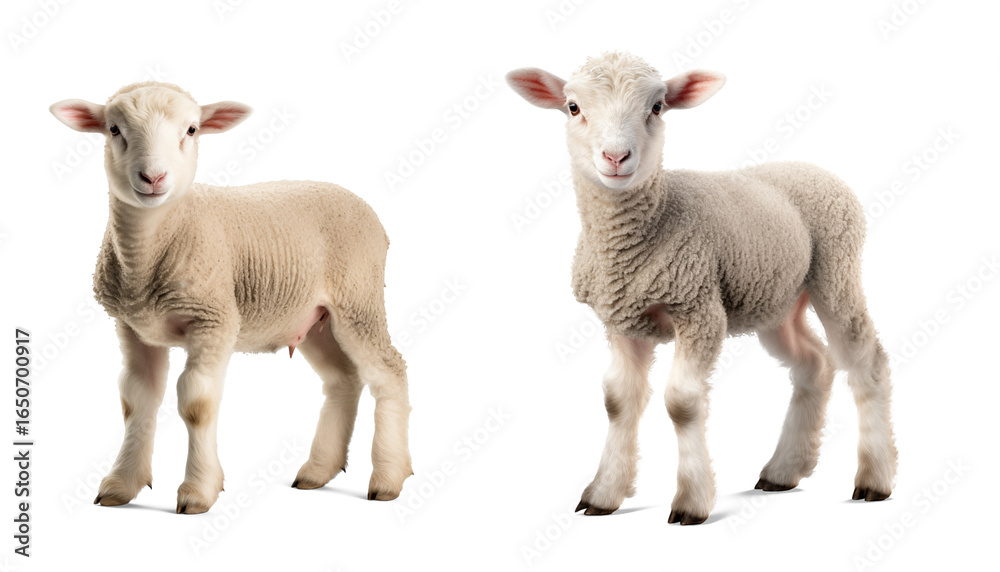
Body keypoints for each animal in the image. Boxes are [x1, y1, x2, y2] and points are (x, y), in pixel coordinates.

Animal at [49, 82, 412, 514]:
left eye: (191, 129)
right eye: (114, 129)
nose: (153, 177)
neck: (154, 249)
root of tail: (363, 206)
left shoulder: (215, 319)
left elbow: (196, 403)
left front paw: (198, 491)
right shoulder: (133, 327)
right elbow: (136, 400)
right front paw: (122, 485)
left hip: (359, 298)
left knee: (388, 372)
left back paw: (388, 478)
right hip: (314, 319)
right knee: (343, 380)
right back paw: (317, 471)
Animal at [507, 52, 897, 525]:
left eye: (657, 107)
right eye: (573, 107)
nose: (616, 157)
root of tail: (813, 168)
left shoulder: (700, 309)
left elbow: (682, 402)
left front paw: (691, 501)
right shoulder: (622, 321)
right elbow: (618, 401)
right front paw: (604, 494)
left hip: (836, 270)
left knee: (866, 362)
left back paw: (874, 479)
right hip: (777, 300)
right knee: (813, 364)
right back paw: (783, 470)